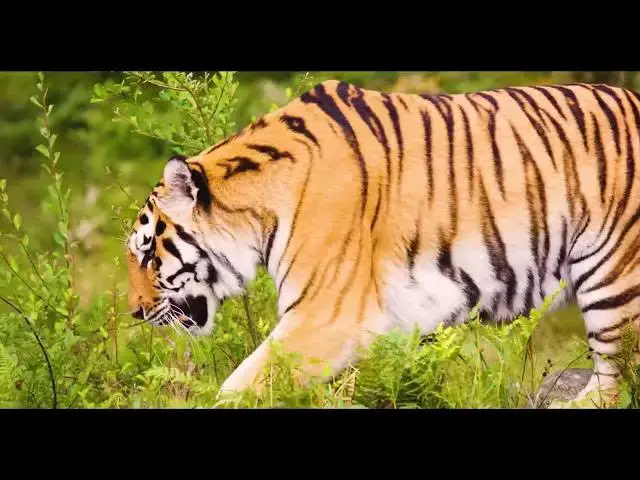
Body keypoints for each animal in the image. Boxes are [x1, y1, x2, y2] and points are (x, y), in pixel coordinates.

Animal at [127, 79, 640, 405]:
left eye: (148, 252)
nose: (134, 311)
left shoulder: (326, 317)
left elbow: (238, 389)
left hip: (613, 281)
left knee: (615, 385)